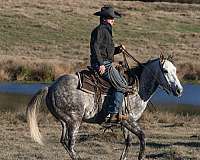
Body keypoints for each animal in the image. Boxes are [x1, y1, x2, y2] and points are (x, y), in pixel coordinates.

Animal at [26, 55, 183, 159]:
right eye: (165, 71)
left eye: (175, 70)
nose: (179, 90)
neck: (136, 89)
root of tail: (50, 87)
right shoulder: (129, 120)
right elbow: (142, 138)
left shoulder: (124, 122)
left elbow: (128, 143)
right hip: (74, 121)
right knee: (70, 145)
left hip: (64, 122)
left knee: (64, 142)